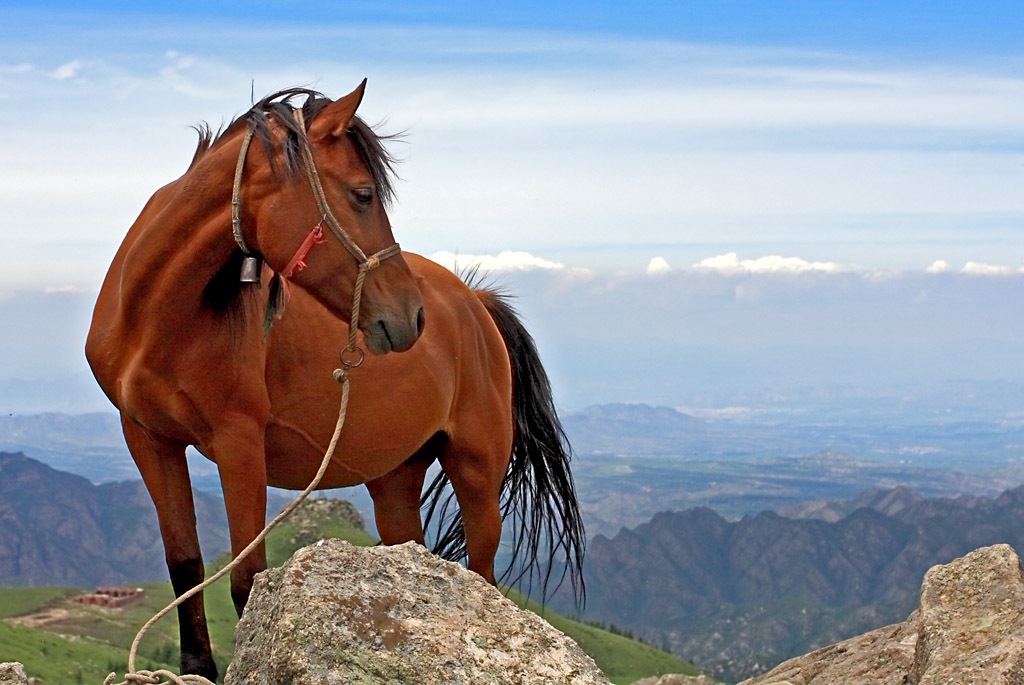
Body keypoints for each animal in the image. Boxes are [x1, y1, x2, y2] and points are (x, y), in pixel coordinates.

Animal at [86, 82, 585, 675]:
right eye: (363, 194)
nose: (412, 317)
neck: (157, 321)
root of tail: (475, 303)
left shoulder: (239, 445)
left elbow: (247, 580)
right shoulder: (148, 438)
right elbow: (184, 564)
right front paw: (195, 670)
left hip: (477, 469)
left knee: (481, 575)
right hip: (395, 479)